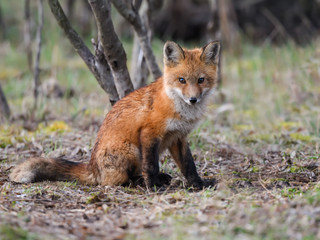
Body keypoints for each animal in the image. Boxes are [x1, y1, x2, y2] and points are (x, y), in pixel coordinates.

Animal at [9, 40, 220, 188]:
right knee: (115, 181)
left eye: (201, 80)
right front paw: (153, 186)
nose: (193, 99)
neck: (178, 109)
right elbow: (151, 166)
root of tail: (92, 166)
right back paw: (140, 183)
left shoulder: (178, 137)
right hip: (132, 150)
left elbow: (188, 165)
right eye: (182, 80)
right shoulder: (149, 133)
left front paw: (198, 184)